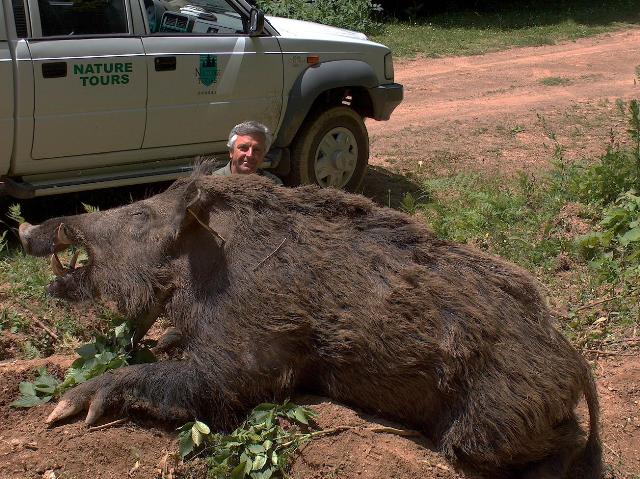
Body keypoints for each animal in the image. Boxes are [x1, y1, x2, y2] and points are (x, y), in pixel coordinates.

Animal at [18, 171, 602, 479]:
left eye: (141, 216)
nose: (28, 229)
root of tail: (575, 363)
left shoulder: (256, 355)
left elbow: (208, 384)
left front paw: (62, 411)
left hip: (491, 422)